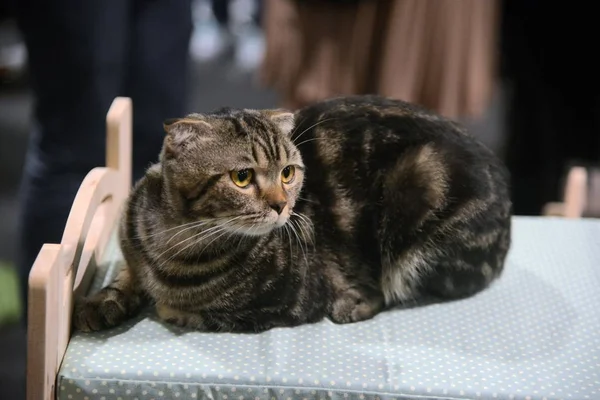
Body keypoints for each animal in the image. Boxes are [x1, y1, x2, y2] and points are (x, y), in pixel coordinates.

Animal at [71, 95, 510, 332]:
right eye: (242, 177)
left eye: (287, 172)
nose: (282, 205)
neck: (177, 240)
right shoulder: (133, 246)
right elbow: (126, 273)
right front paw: (104, 300)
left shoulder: (292, 298)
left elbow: (190, 310)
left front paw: (169, 307)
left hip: (415, 202)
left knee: (389, 288)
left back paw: (352, 302)